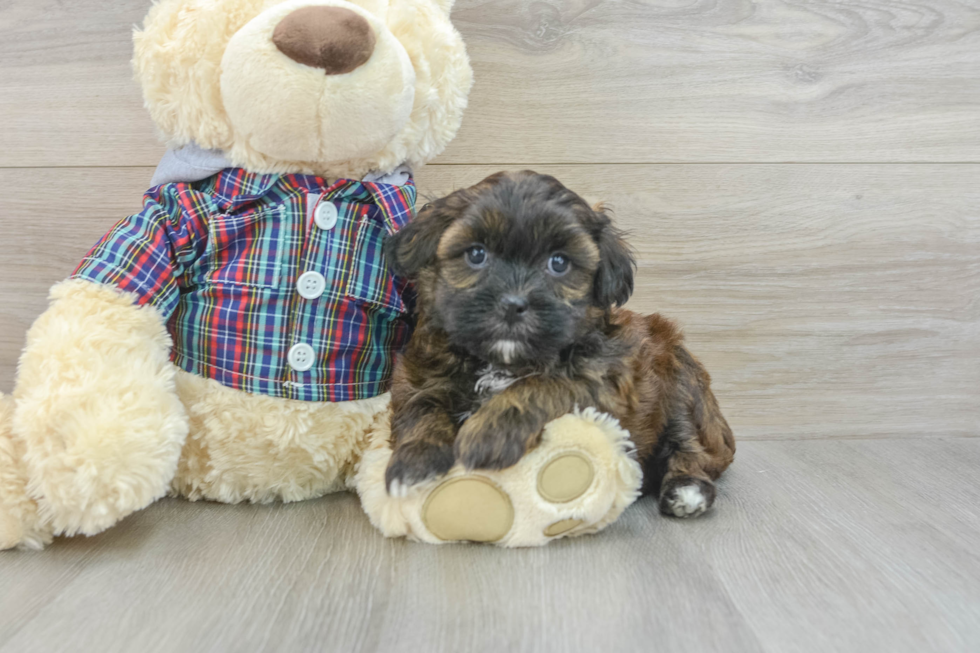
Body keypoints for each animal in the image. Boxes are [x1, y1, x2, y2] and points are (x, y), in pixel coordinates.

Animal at [382, 171, 736, 516]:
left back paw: (687, 488)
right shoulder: (418, 373)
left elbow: (545, 385)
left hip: (681, 382)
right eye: (476, 254)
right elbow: (422, 405)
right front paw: (413, 462)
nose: (513, 304)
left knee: (688, 442)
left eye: (559, 263)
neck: (504, 361)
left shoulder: (607, 382)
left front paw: (489, 434)